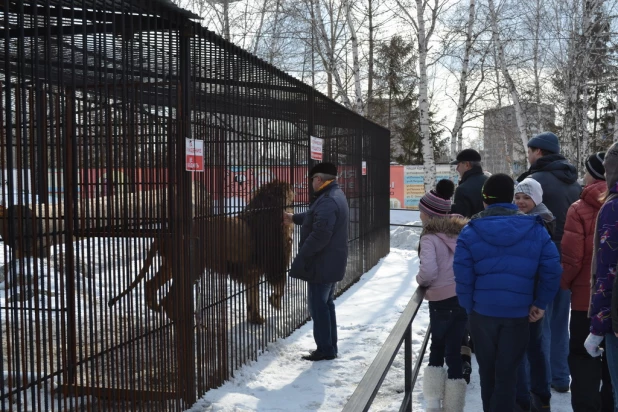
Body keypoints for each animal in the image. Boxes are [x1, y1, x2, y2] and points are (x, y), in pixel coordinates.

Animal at [108, 180, 294, 326]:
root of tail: (167, 231)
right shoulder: (275, 265)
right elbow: (280, 286)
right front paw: (275, 303)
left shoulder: (253, 272)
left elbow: (253, 297)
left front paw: (256, 319)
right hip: (193, 267)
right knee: (167, 299)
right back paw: (182, 322)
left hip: (171, 265)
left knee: (150, 284)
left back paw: (154, 306)